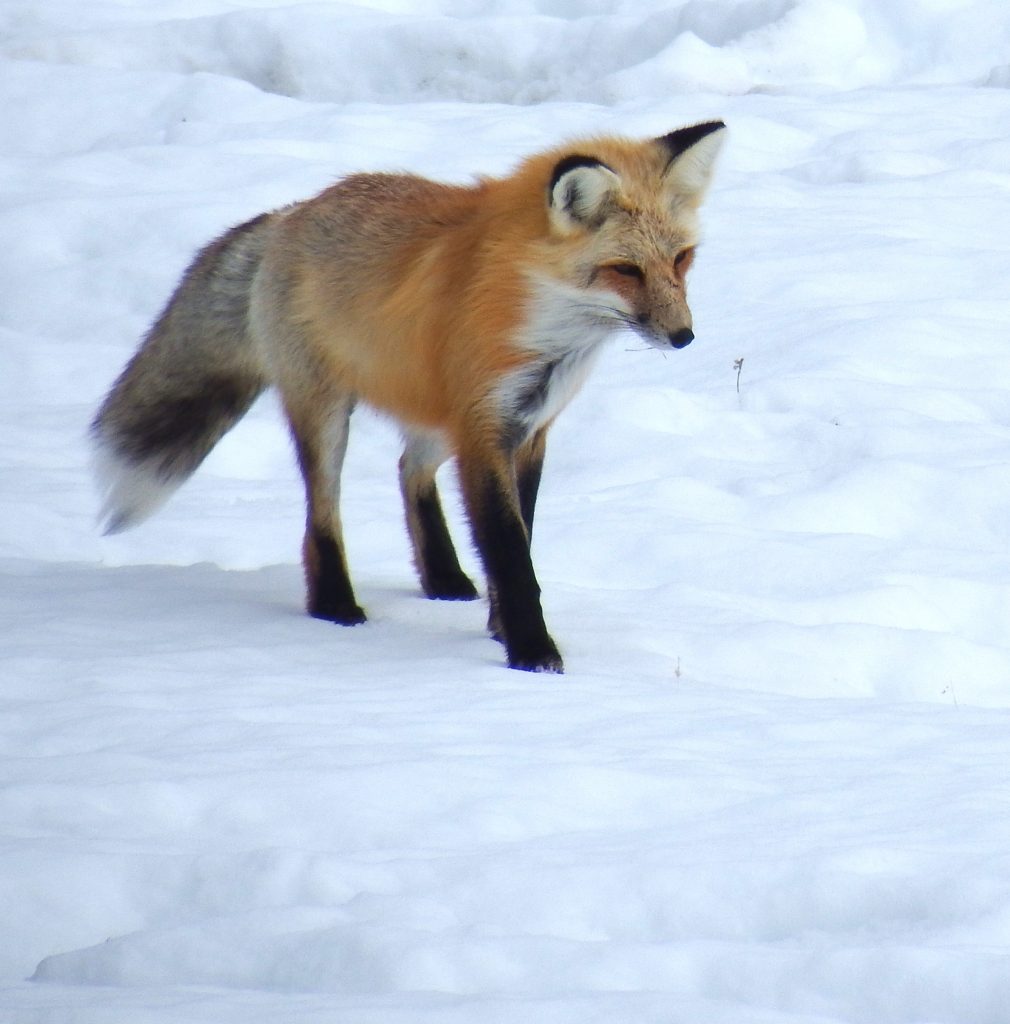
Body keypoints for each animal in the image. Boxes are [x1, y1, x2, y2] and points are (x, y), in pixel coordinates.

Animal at [92, 119, 725, 671]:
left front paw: (501, 627)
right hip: (331, 415)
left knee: (408, 469)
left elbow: (519, 536)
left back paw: (441, 576)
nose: (685, 336)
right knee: (322, 516)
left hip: (434, 413)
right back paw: (335, 605)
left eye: (681, 259)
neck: (546, 326)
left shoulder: (527, 428)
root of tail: (293, 211)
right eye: (625, 270)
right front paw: (531, 653)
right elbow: (509, 550)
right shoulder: (484, 431)